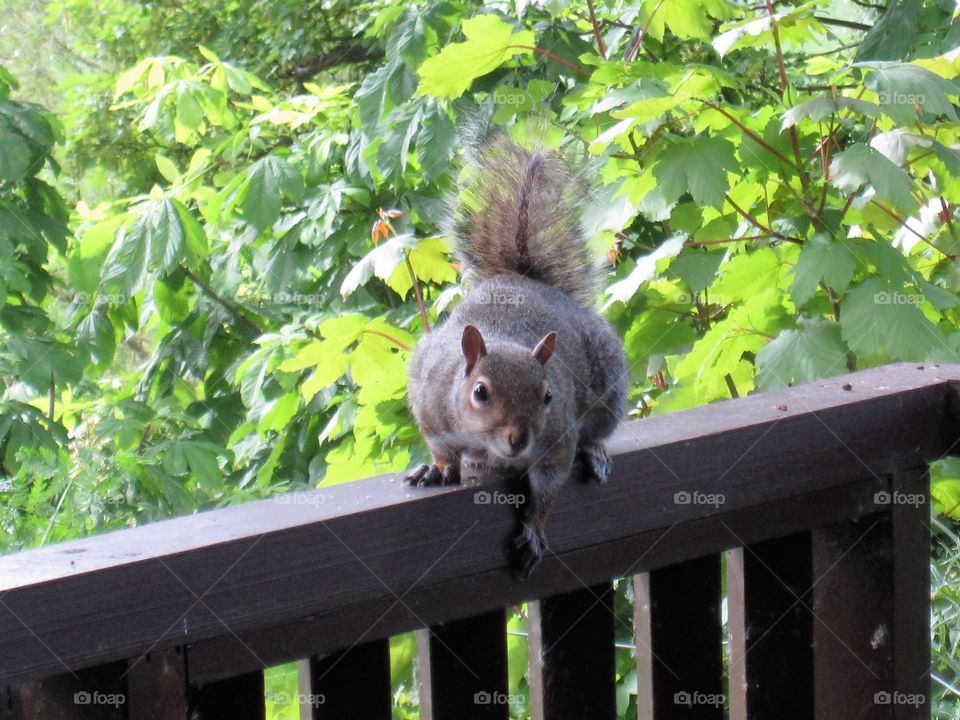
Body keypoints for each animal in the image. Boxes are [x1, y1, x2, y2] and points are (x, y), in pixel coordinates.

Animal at [404, 132, 632, 576]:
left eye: (548, 396)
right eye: (479, 392)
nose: (519, 439)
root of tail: (523, 280)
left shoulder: (557, 437)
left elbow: (549, 485)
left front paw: (534, 531)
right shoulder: (432, 404)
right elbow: (440, 447)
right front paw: (437, 470)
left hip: (608, 388)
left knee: (596, 430)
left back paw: (595, 451)